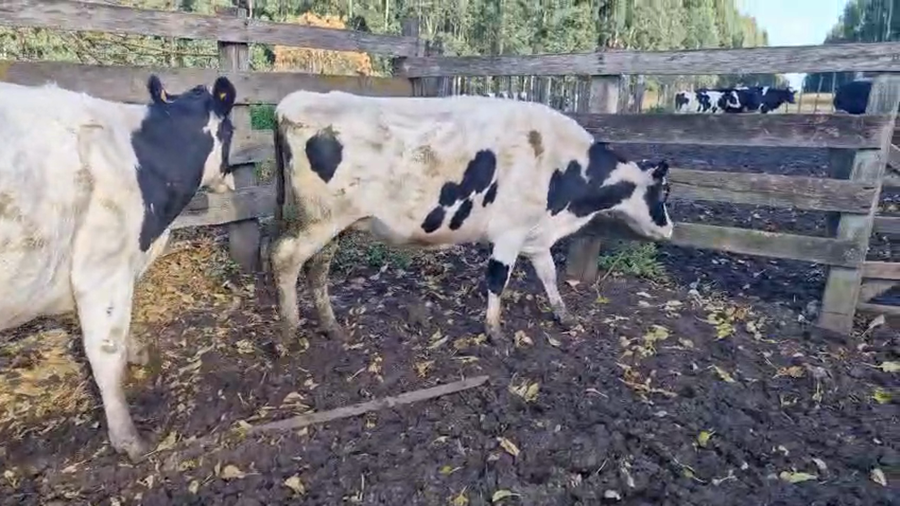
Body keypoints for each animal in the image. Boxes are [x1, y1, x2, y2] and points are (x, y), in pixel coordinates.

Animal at [0, 74, 237, 461]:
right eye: (230, 129)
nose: (230, 180)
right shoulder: (102, 267)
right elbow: (107, 349)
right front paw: (129, 439)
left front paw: (139, 351)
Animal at [269, 91, 673, 344]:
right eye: (663, 193)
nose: (669, 229)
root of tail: (294, 101)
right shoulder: (508, 232)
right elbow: (497, 280)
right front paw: (494, 331)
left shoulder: (534, 236)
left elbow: (549, 276)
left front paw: (564, 315)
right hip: (318, 219)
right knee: (285, 258)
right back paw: (287, 333)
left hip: (333, 225)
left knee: (317, 268)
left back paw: (331, 327)